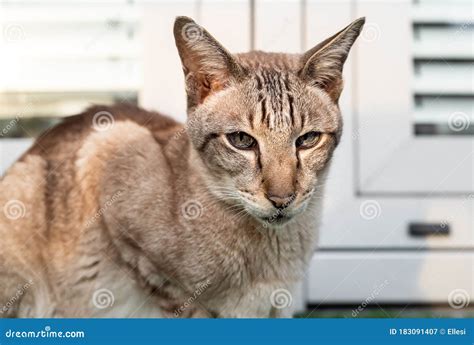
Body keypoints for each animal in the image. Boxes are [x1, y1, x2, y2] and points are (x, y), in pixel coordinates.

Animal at [0, 16, 362, 318]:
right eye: (242, 141)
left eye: (307, 140)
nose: (282, 198)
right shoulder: (111, 149)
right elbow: (185, 304)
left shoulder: (276, 307)